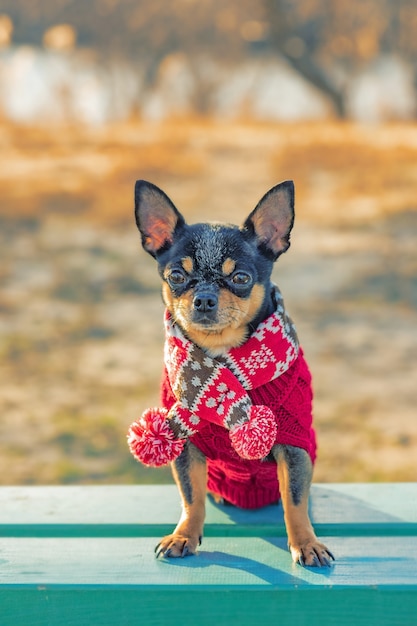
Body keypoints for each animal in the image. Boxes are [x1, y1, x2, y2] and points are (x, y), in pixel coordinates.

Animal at [135, 179, 334, 564]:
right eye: (176, 276)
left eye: (240, 278)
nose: (204, 298)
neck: (221, 353)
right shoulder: (184, 445)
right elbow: (191, 497)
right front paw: (184, 535)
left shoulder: (293, 446)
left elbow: (295, 502)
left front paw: (305, 542)